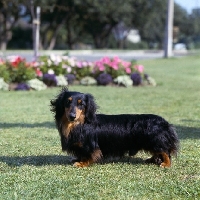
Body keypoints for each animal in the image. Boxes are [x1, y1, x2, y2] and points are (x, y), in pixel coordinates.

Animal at [50, 88, 179, 168]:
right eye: (67, 102)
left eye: (81, 104)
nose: (72, 116)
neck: (80, 124)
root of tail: (165, 122)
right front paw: (77, 159)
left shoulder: (90, 145)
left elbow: (89, 155)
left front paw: (82, 163)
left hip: (155, 141)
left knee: (165, 152)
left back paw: (166, 164)